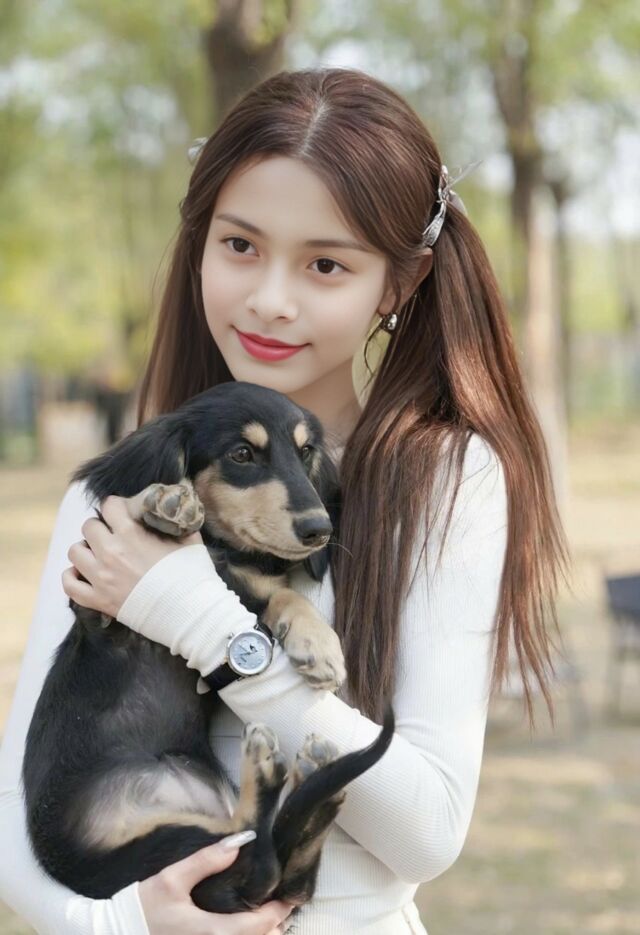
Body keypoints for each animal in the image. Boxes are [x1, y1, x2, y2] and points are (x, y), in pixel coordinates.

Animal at [23, 381, 393, 915]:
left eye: (305, 452)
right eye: (242, 454)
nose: (318, 529)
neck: (226, 553)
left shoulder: (256, 583)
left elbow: (282, 593)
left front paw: (319, 645)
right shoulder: (96, 607)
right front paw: (166, 502)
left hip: (182, 840)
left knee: (273, 869)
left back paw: (298, 778)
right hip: (162, 851)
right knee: (263, 866)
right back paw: (282, 776)